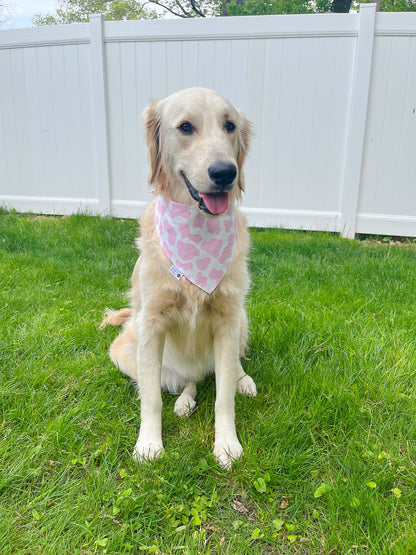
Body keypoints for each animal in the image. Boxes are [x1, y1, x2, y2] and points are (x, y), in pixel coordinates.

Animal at [101, 88, 256, 470]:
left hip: (243, 318)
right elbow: (151, 398)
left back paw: (243, 380)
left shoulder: (228, 319)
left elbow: (224, 397)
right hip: (125, 351)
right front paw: (148, 443)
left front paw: (226, 444)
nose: (225, 172)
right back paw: (185, 401)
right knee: (185, 381)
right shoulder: (152, 323)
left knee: (226, 370)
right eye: (185, 127)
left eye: (230, 126)